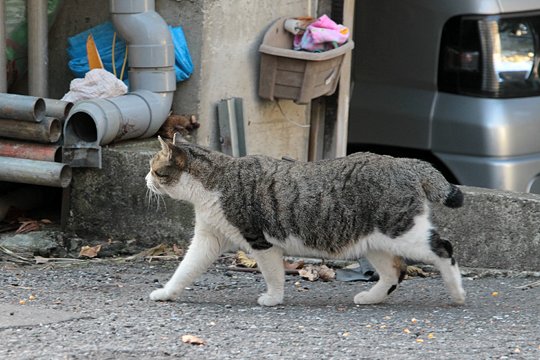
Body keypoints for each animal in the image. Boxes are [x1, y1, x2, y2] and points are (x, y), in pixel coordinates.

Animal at [146, 135, 466, 306]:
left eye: (155, 169)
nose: (145, 179)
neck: (215, 181)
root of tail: (404, 162)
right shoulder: (209, 238)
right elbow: (186, 269)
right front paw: (167, 292)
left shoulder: (261, 242)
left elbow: (273, 274)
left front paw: (273, 299)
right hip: (375, 242)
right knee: (394, 273)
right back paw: (371, 298)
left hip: (403, 231)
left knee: (444, 249)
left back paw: (457, 293)